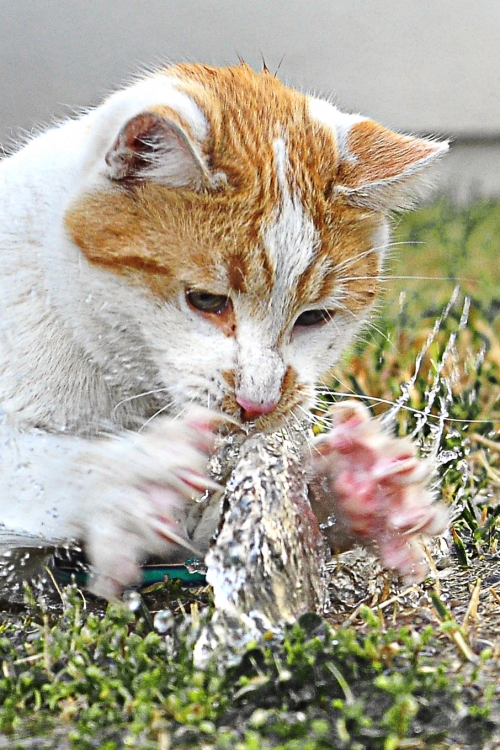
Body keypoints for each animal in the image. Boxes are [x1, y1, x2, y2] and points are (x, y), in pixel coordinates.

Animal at [0, 63, 448, 600]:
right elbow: (40, 466)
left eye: (313, 318)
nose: (259, 401)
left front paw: (353, 490)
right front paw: (129, 474)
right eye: (208, 301)